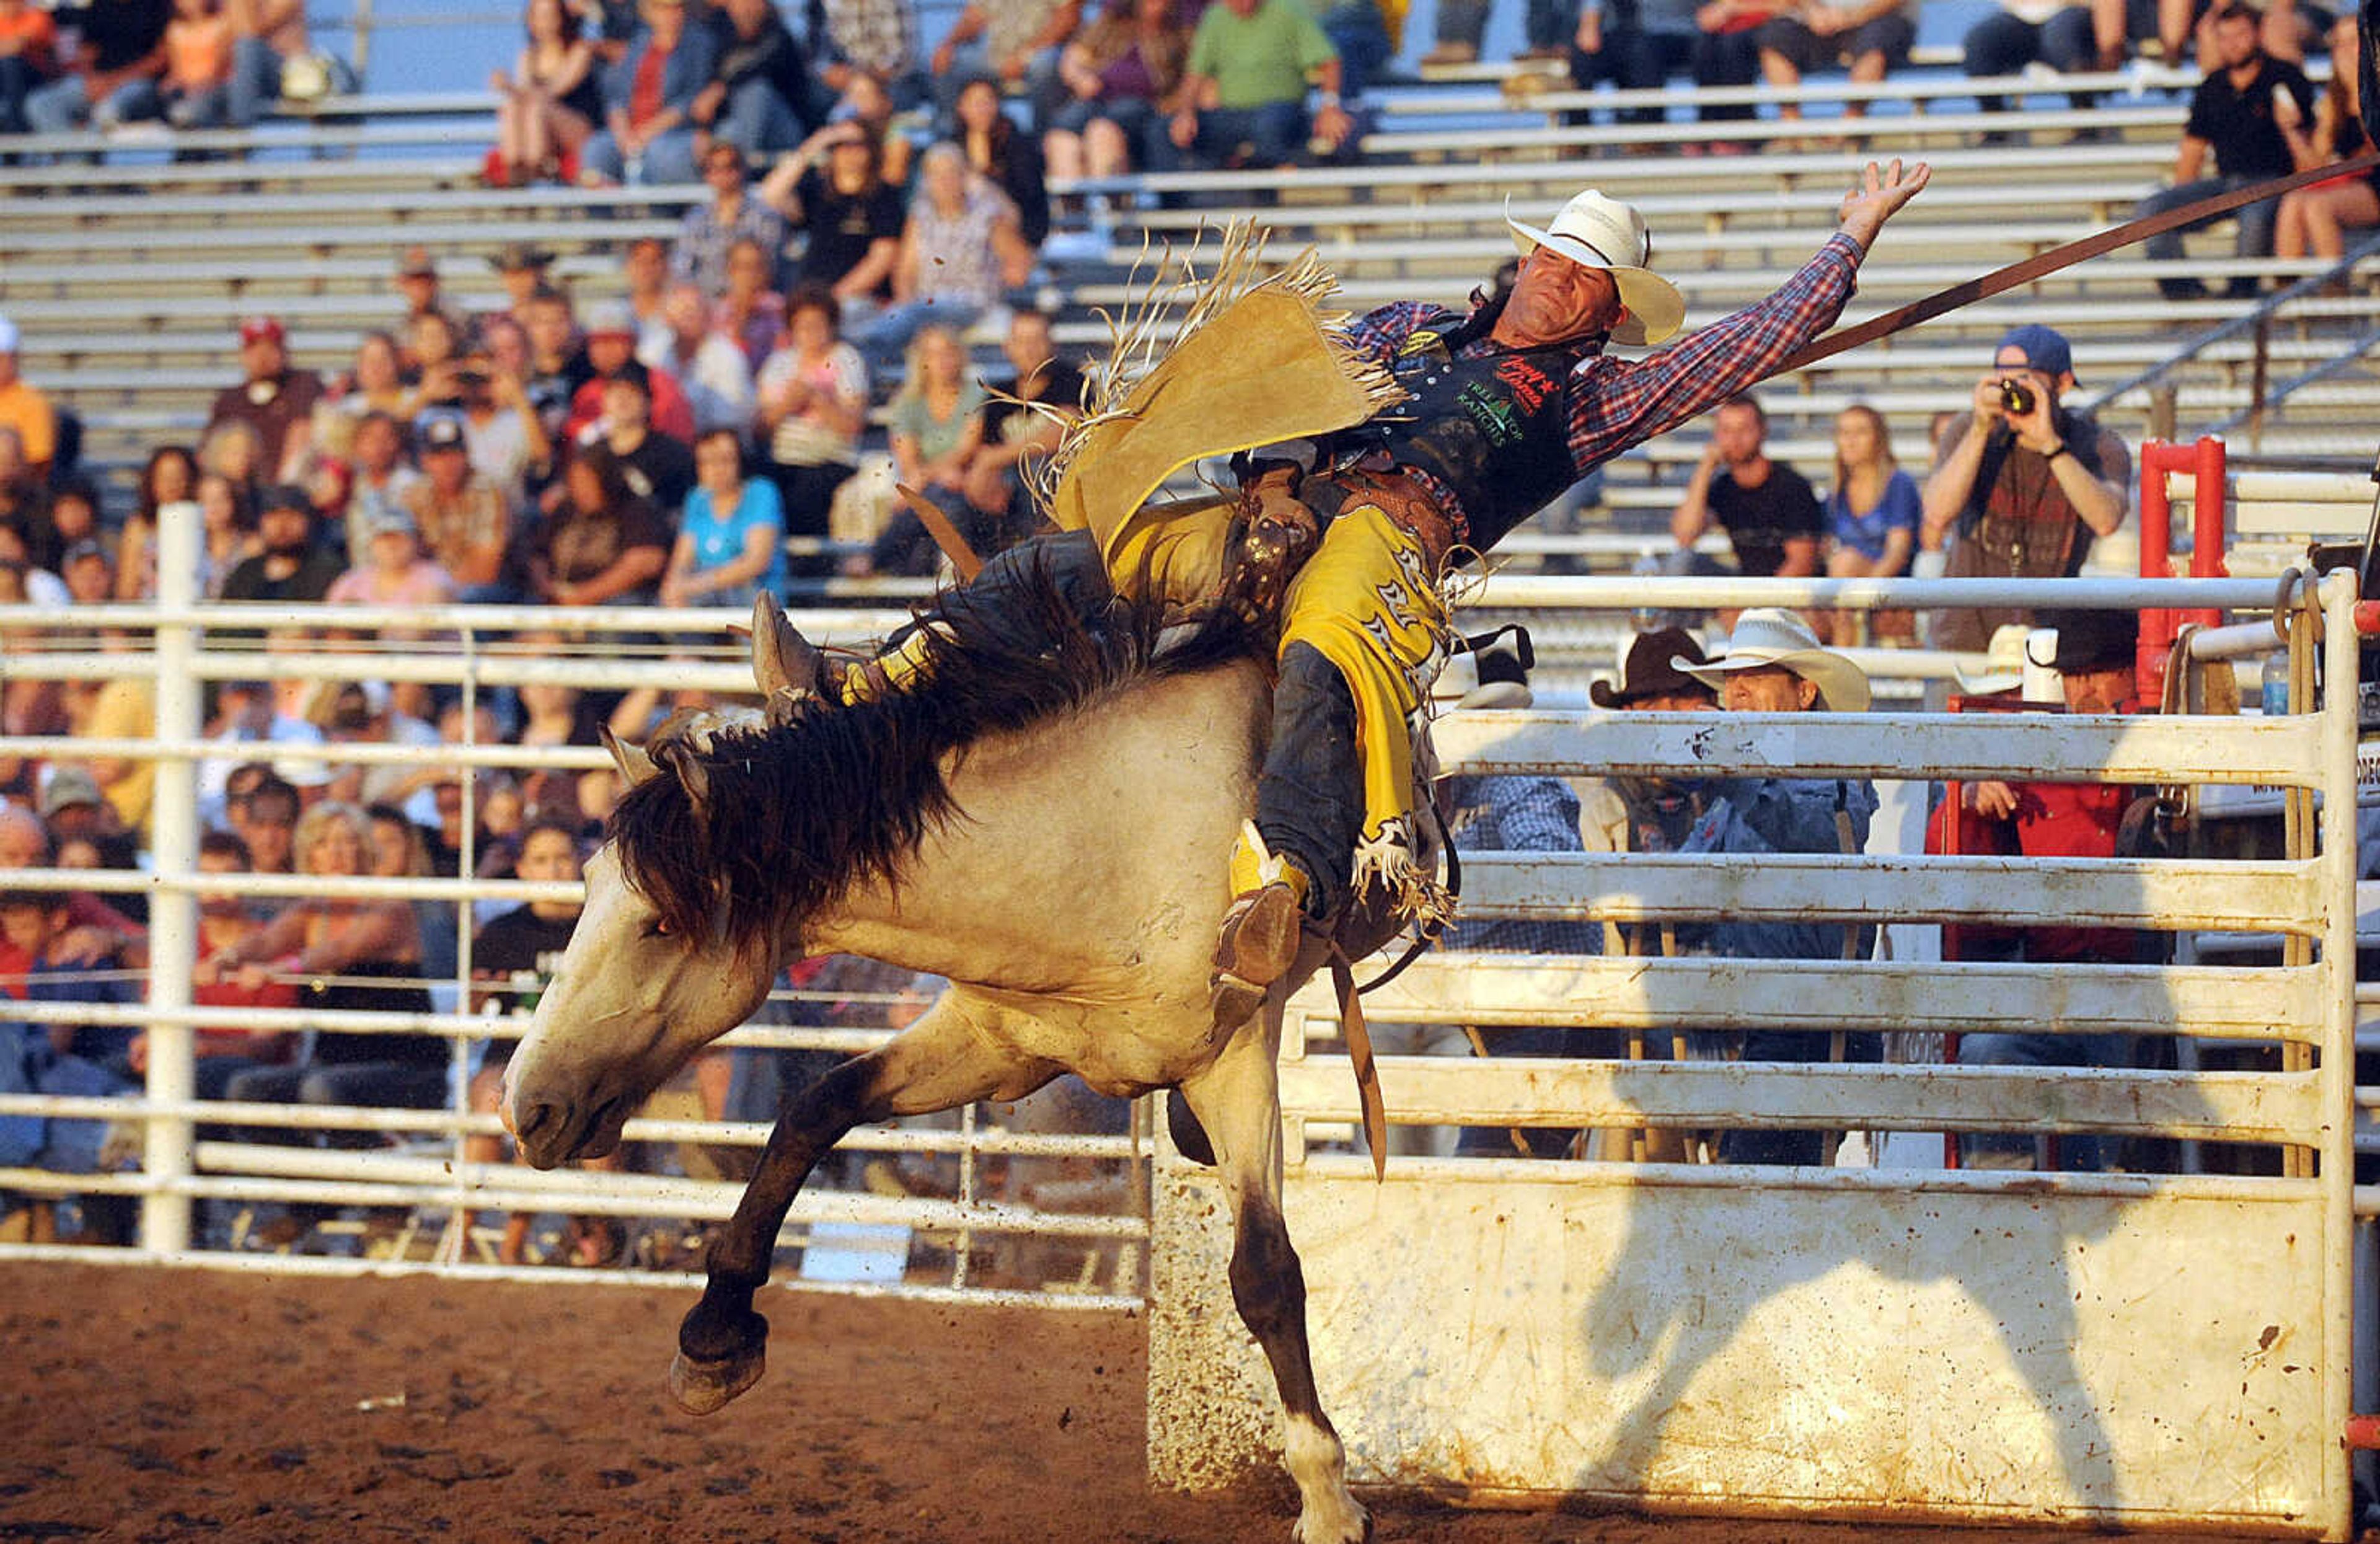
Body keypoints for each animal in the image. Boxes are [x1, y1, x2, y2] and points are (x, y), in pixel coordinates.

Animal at [502, 568, 1390, 1542]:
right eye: (588, 883)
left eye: (661, 922)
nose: (525, 1104)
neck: (1102, 843)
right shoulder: (998, 1042)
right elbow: (814, 1108)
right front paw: (714, 1339)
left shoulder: (1234, 1058)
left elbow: (1265, 1271)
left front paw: (1328, 1499)